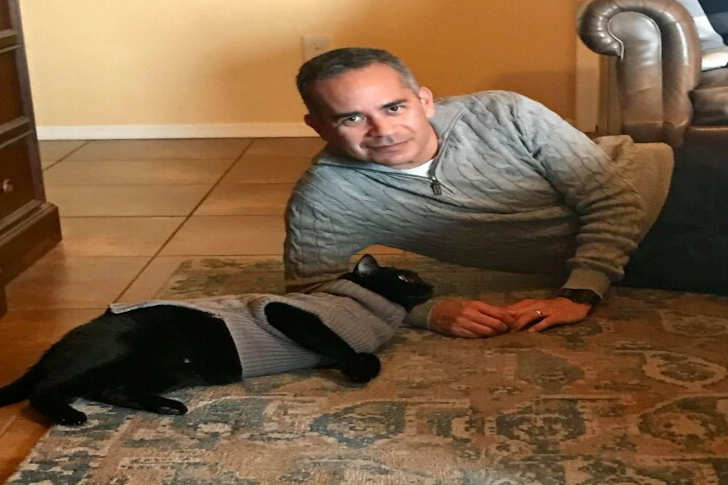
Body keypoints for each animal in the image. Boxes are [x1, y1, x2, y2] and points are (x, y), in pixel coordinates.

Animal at [0, 254, 432, 426]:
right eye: (405, 277)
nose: (430, 283)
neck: (366, 308)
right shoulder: (285, 312)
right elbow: (343, 346)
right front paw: (361, 368)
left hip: (161, 369)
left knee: (109, 390)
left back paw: (168, 407)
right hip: (114, 354)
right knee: (44, 388)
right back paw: (70, 415)